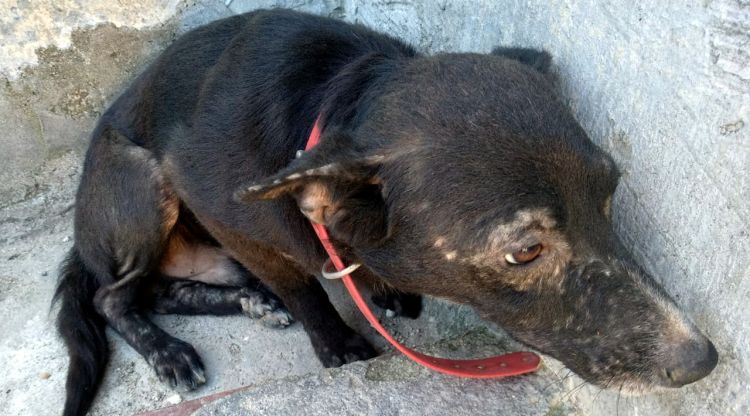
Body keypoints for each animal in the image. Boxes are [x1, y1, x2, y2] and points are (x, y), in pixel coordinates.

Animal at [53, 9, 716, 416]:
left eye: (610, 193)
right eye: (525, 251)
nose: (703, 360)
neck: (328, 103)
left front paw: (381, 286)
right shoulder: (224, 214)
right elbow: (304, 289)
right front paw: (339, 342)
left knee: (164, 290)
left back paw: (245, 301)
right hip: (143, 183)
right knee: (113, 298)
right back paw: (170, 348)